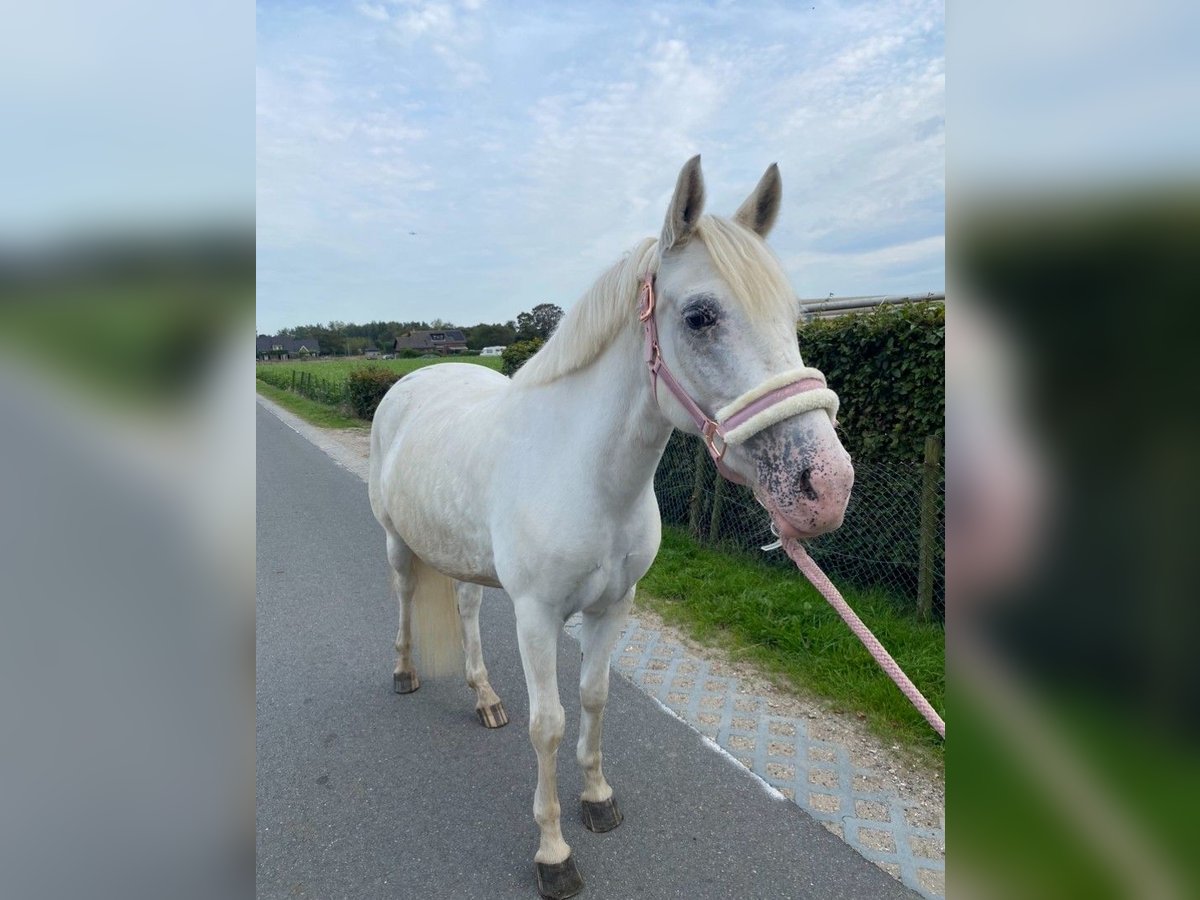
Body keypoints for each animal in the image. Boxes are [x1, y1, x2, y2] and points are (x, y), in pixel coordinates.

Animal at [364, 157, 854, 900]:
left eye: (794, 317)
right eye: (700, 316)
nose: (824, 485)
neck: (587, 476)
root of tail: (411, 381)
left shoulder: (614, 606)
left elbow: (593, 700)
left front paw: (597, 800)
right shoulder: (537, 616)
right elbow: (548, 725)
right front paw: (553, 853)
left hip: (466, 559)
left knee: (467, 607)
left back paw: (484, 697)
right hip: (398, 545)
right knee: (401, 598)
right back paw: (404, 673)